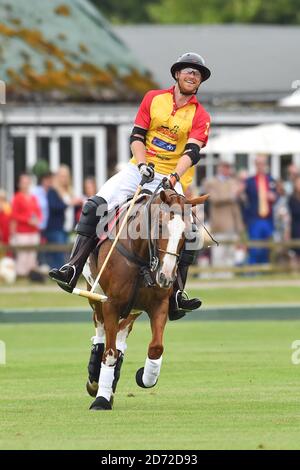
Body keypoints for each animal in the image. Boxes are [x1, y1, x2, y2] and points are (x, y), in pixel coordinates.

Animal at [84, 189, 206, 410]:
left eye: (188, 233)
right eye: (160, 225)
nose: (166, 277)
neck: (141, 257)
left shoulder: (159, 305)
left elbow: (156, 348)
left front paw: (145, 377)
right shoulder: (110, 304)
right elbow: (110, 353)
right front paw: (101, 400)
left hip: (133, 310)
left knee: (121, 337)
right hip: (96, 297)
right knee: (101, 334)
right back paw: (94, 382)